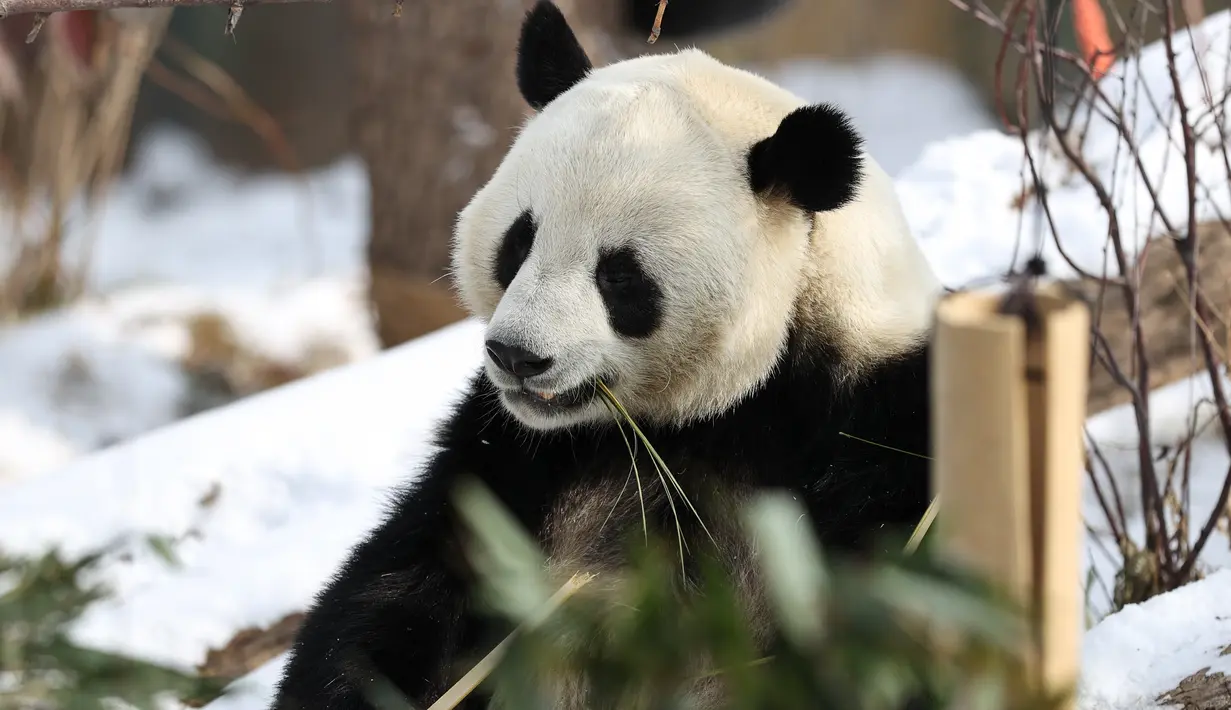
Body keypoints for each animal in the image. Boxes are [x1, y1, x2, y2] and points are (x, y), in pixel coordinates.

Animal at [271, 2, 942, 708]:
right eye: (519, 241)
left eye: (620, 275)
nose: (517, 356)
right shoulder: (513, 457)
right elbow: (400, 592)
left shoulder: (875, 434)